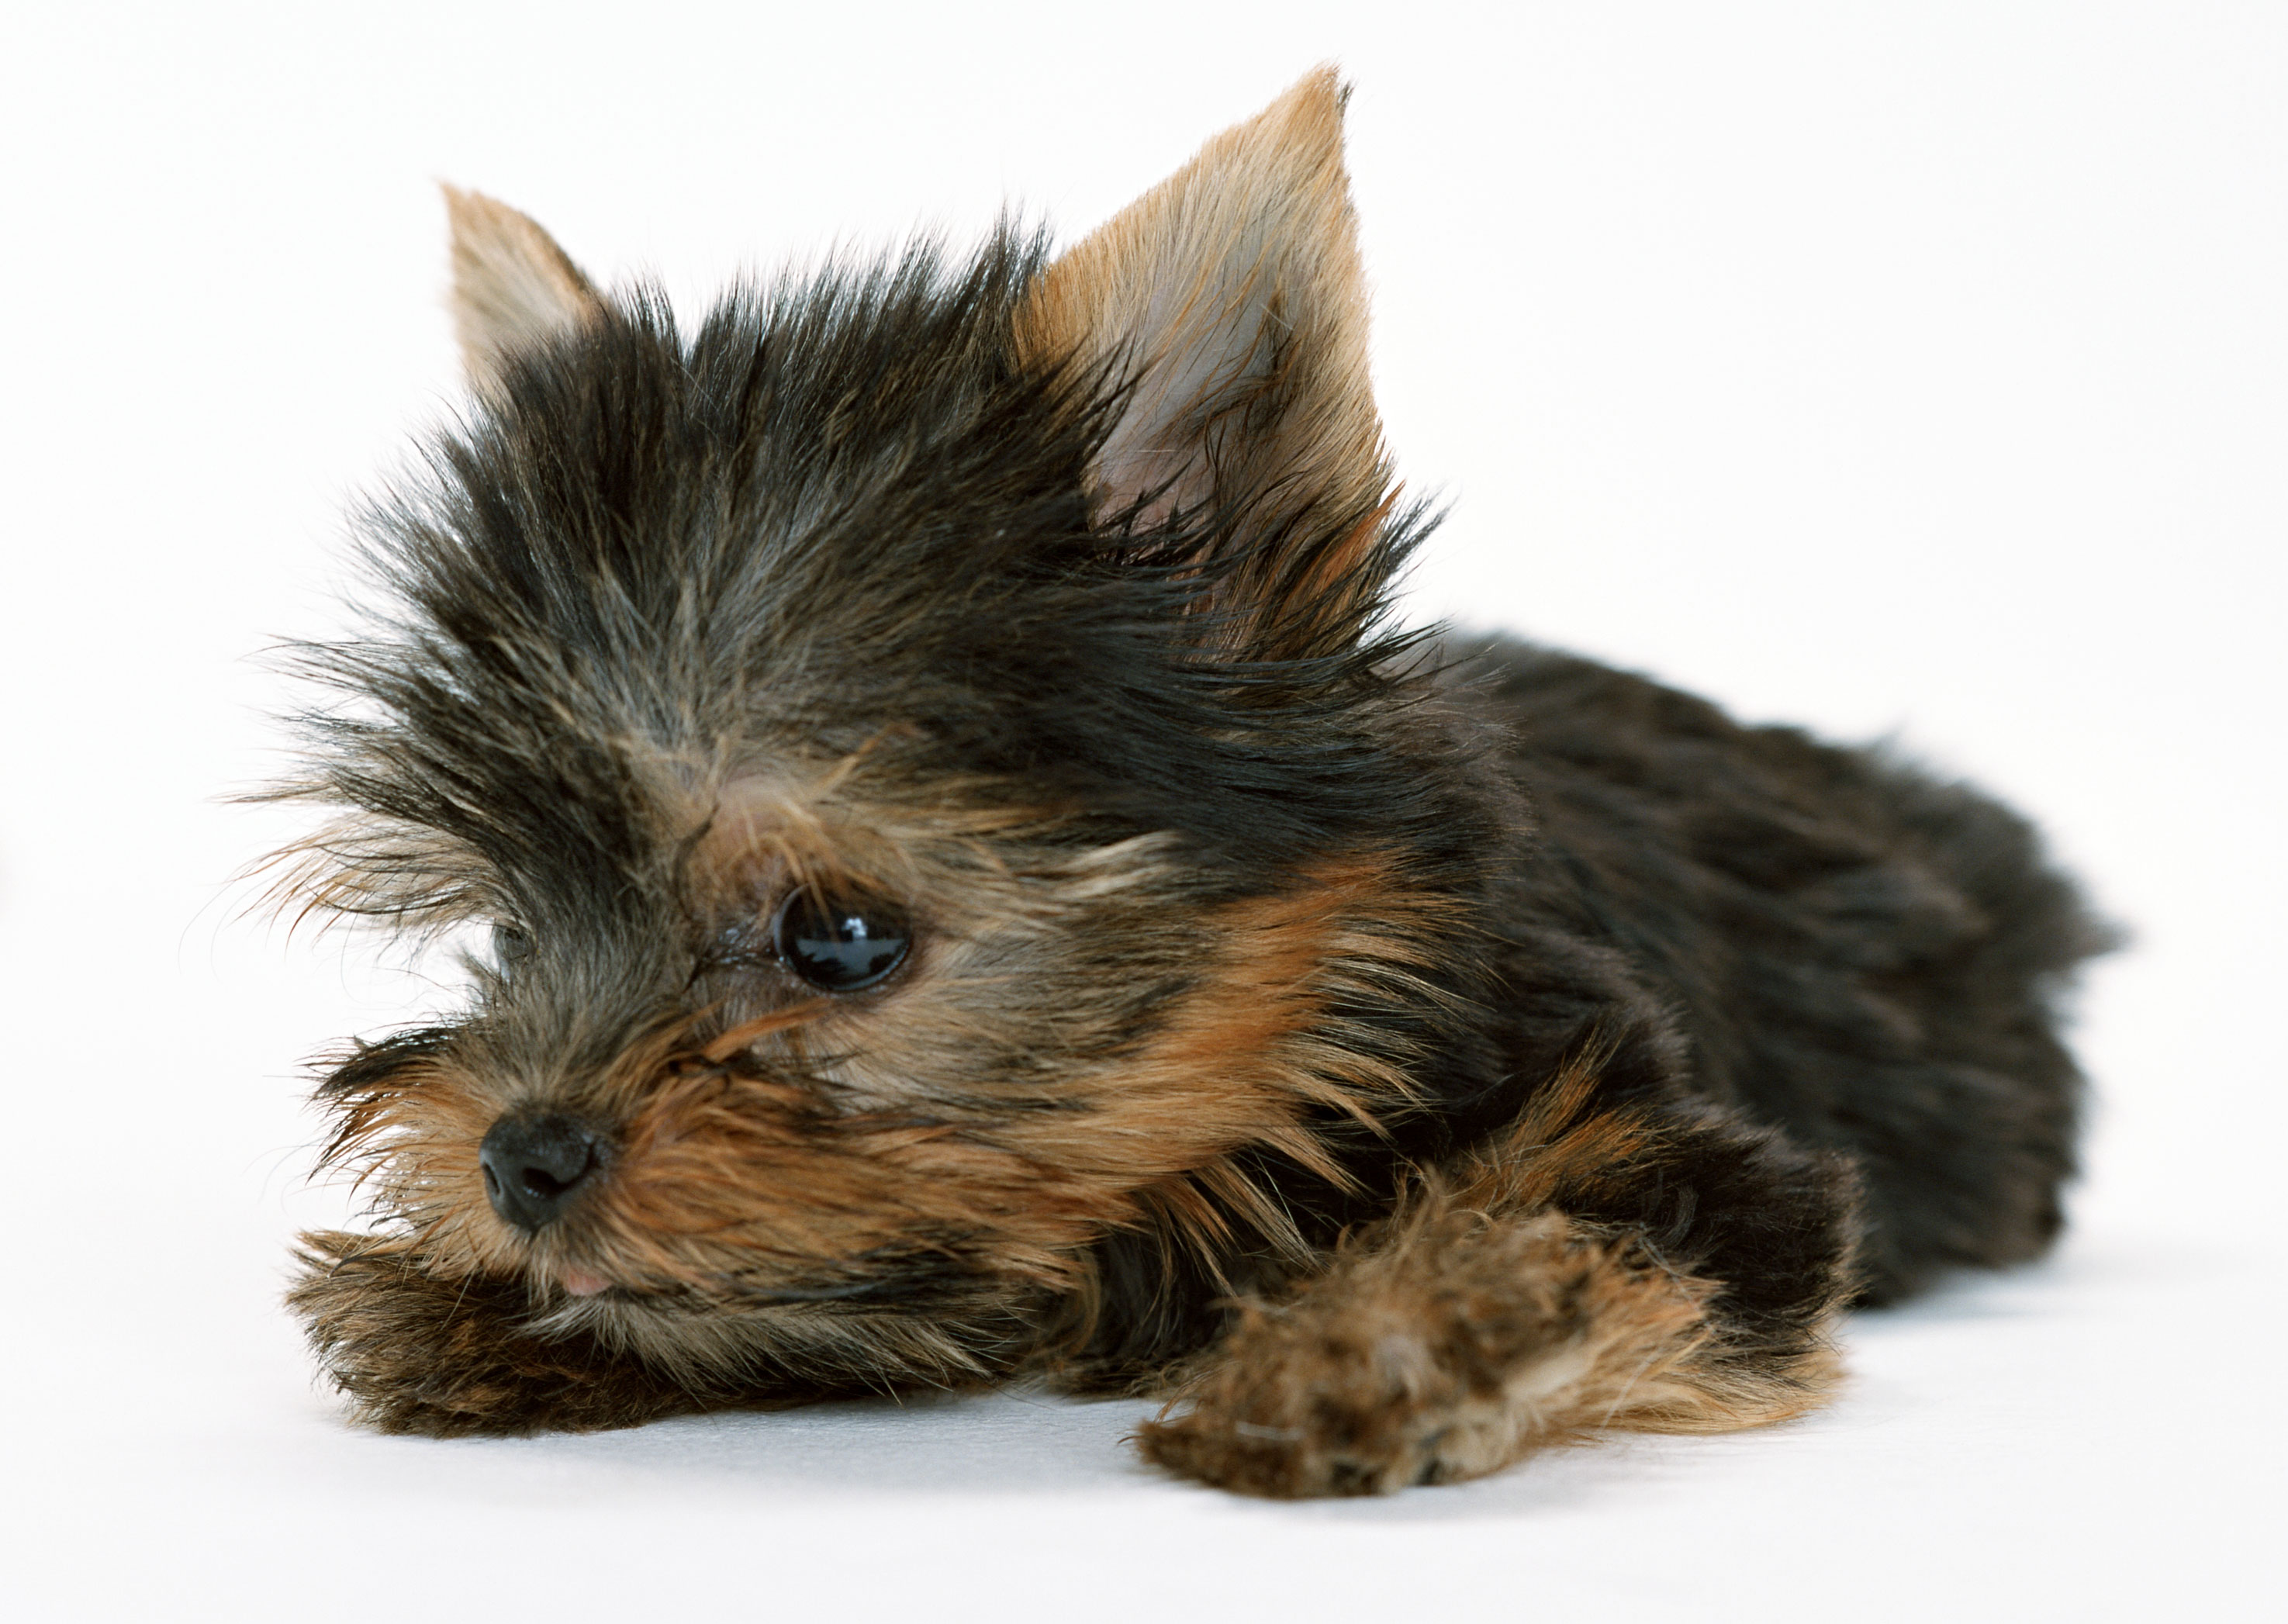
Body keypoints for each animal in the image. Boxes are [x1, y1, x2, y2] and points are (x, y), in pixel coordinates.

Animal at [272, 73, 2105, 1500]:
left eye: (840, 939)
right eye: (515, 926)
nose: (520, 1157)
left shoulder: (1704, 1173)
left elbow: (1593, 1235)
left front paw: (1388, 1335)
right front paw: (470, 1306)